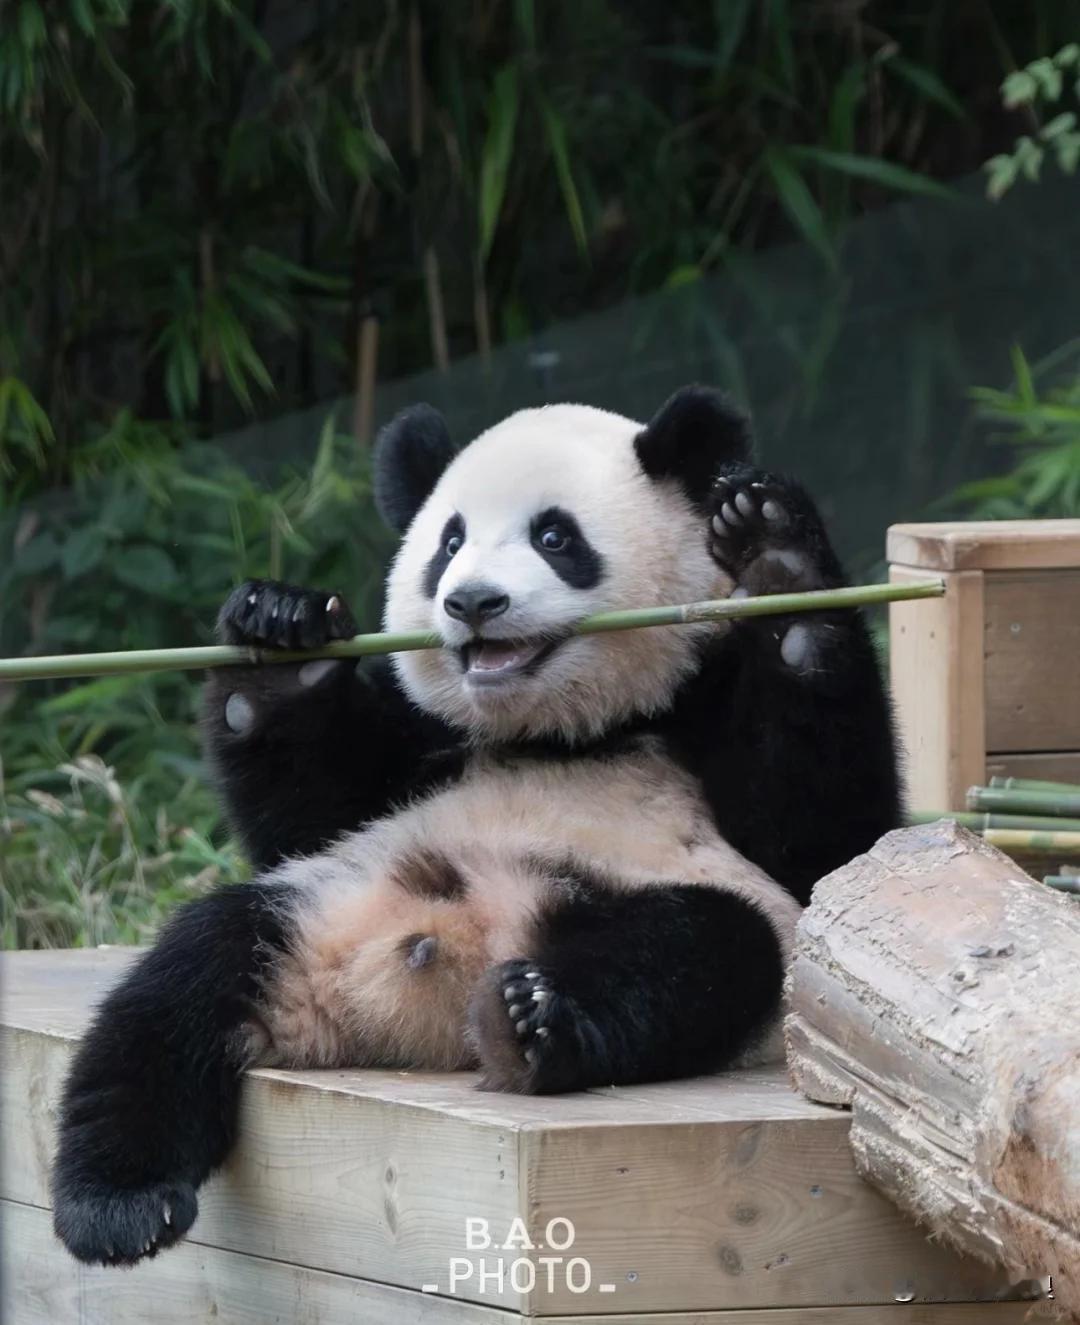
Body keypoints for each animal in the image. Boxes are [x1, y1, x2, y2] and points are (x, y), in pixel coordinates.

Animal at [50, 384, 901, 1261]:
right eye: (449, 541)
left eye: (555, 537)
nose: (471, 602)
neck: (561, 731)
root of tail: (413, 998)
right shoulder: (423, 746)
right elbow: (307, 813)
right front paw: (281, 634)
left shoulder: (710, 698)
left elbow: (821, 832)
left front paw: (777, 558)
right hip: (318, 909)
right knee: (181, 990)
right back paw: (119, 1203)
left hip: (650, 917)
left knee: (704, 948)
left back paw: (531, 1017)